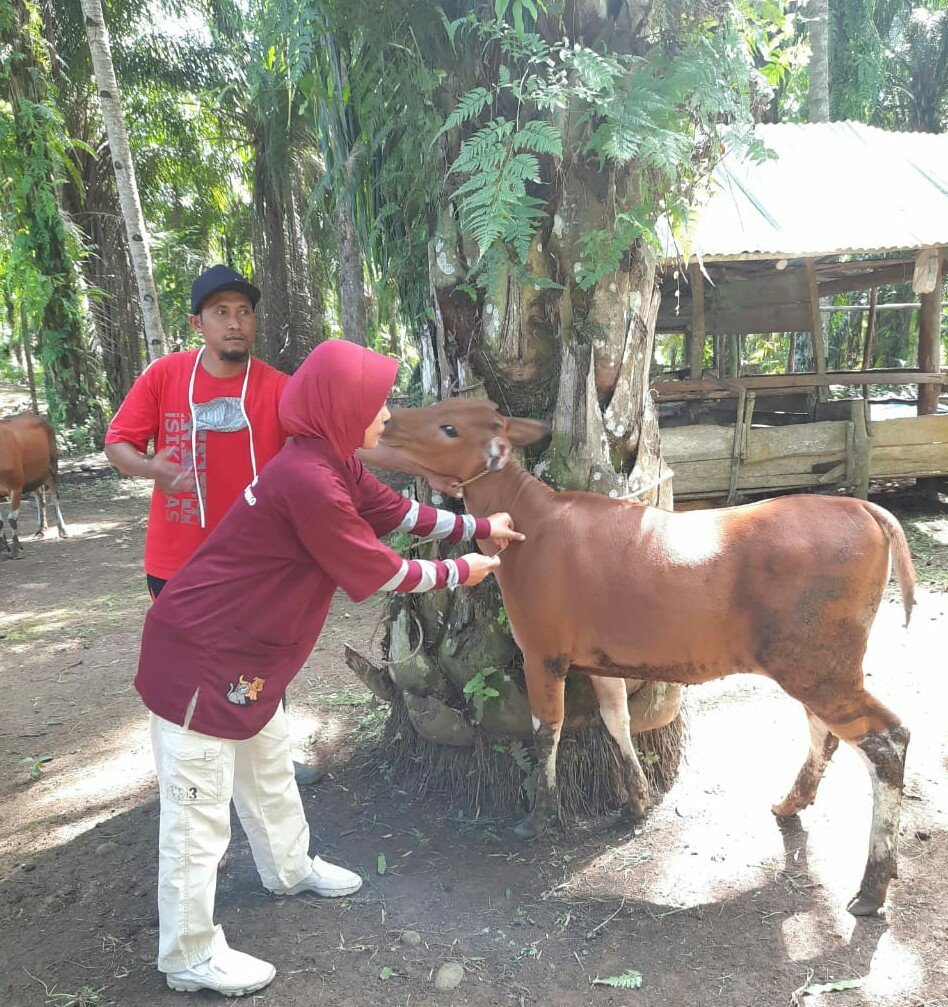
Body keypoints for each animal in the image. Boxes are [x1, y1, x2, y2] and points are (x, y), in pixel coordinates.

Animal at [0, 412, 68, 563]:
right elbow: (0, 522)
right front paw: (3, 548)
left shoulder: (16, 486)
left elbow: (12, 519)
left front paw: (16, 550)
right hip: (34, 478)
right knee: (40, 498)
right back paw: (40, 529)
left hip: (52, 467)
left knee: (54, 497)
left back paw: (63, 530)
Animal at [382, 396, 918, 918]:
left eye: (449, 427)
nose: (386, 422)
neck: (529, 524)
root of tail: (865, 509)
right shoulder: (598, 660)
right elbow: (615, 719)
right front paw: (635, 802)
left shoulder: (541, 652)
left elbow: (546, 731)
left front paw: (538, 817)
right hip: (815, 662)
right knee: (825, 730)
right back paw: (791, 804)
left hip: (819, 663)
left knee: (887, 739)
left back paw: (873, 885)